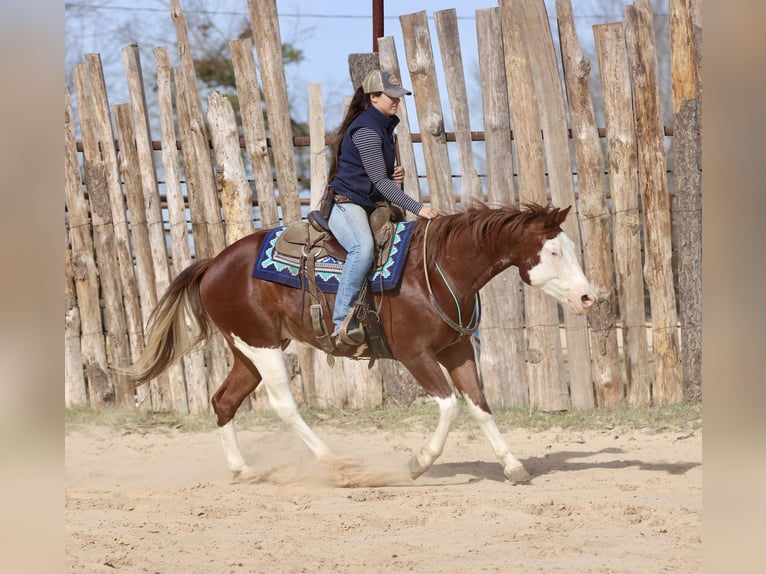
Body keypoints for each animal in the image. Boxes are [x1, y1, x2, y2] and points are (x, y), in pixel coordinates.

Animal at [128, 202, 596, 484]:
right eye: (554, 252)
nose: (588, 297)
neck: (439, 269)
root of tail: (212, 264)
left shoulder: (457, 350)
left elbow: (480, 405)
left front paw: (513, 466)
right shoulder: (414, 355)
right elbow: (449, 405)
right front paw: (418, 463)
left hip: (247, 350)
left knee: (224, 400)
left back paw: (243, 470)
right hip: (261, 347)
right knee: (284, 404)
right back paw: (337, 463)